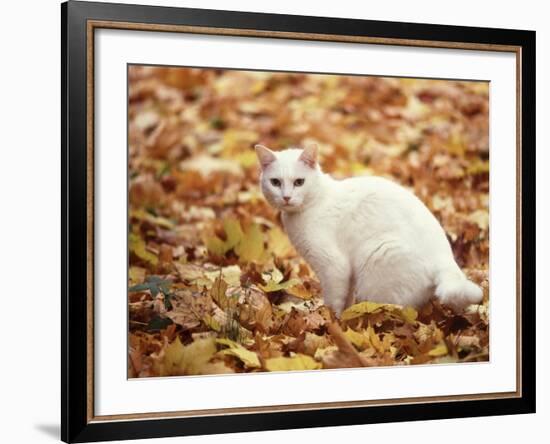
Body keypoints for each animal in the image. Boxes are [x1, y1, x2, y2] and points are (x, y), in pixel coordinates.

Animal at [256, 143, 484, 316]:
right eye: (275, 182)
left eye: (299, 182)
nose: (286, 197)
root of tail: (446, 259)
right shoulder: (346, 273)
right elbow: (345, 300)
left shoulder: (334, 267)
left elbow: (333, 302)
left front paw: (331, 324)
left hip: (376, 264)